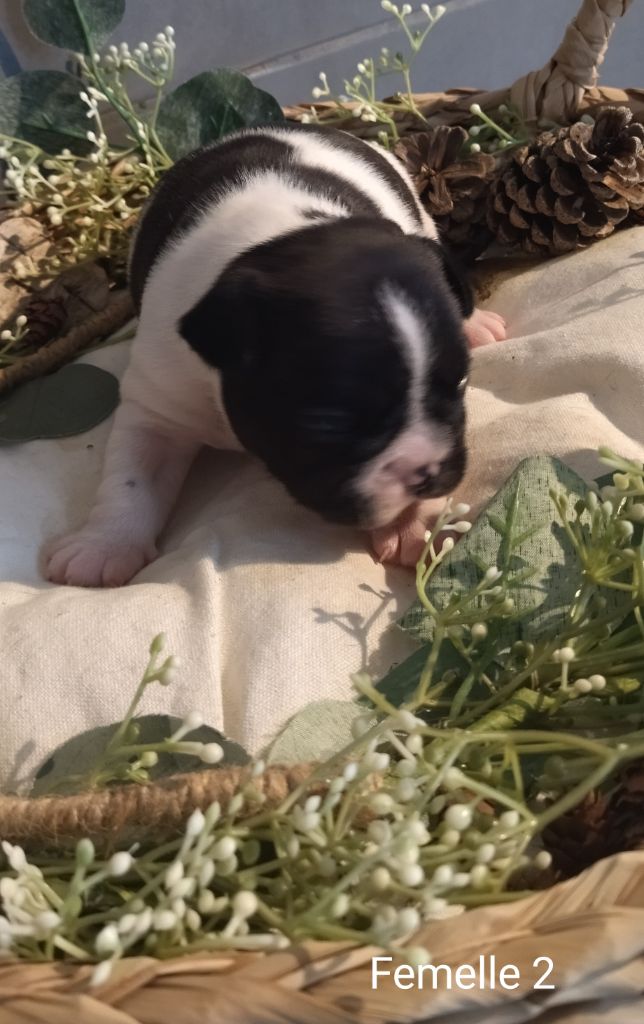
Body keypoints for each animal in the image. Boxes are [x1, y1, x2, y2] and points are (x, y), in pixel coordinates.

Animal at [46, 121, 507, 585]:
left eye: (462, 384)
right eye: (330, 423)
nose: (427, 473)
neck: (281, 237)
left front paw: (411, 524)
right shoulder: (156, 408)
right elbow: (132, 478)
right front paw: (103, 547)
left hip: (424, 223)